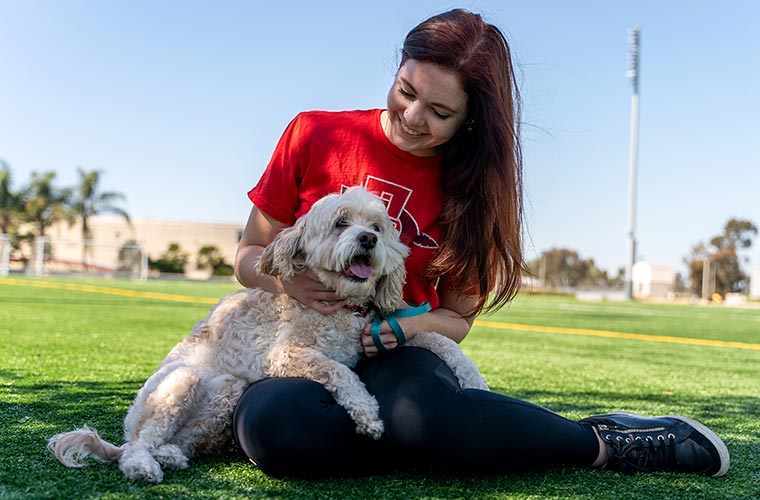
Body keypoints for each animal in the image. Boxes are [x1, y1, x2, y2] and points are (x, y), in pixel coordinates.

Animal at [47, 187, 490, 480]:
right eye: (341, 223)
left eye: (378, 227)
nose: (368, 239)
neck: (344, 309)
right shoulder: (287, 355)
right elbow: (340, 372)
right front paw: (368, 415)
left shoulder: (377, 334)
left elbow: (439, 340)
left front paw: (475, 380)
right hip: (182, 382)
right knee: (136, 446)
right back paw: (143, 465)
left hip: (225, 397)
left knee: (177, 440)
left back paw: (169, 456)